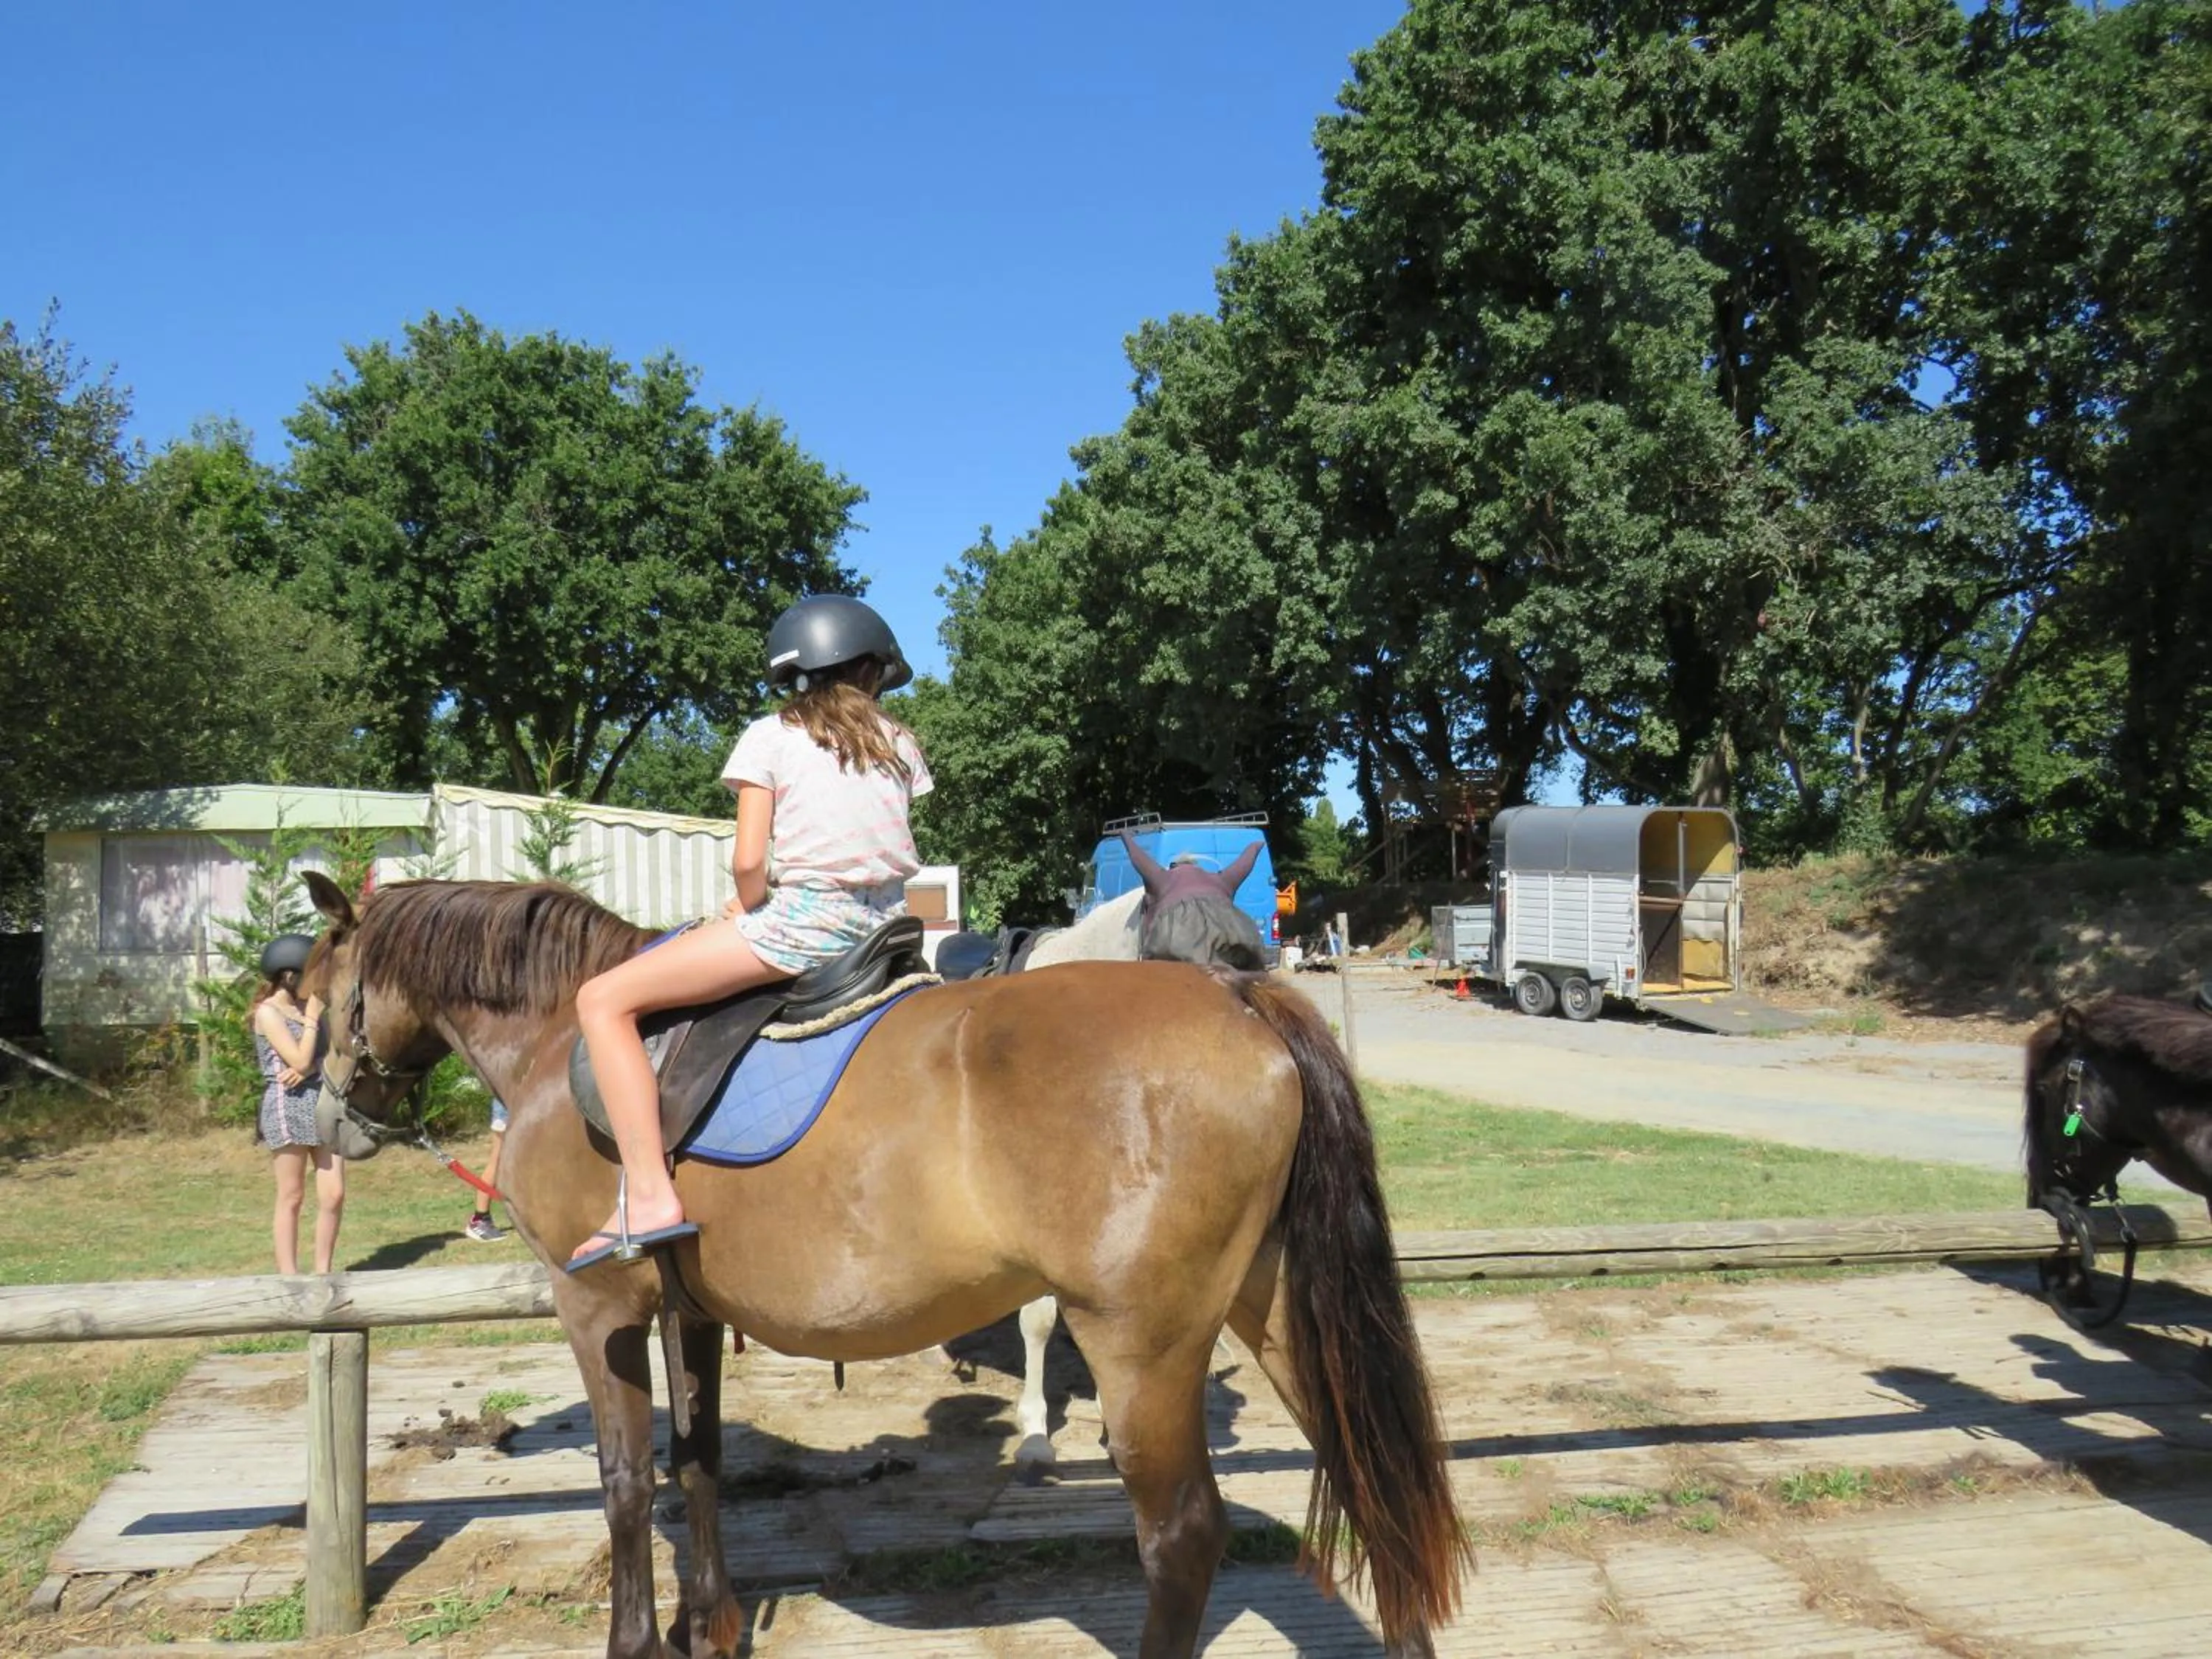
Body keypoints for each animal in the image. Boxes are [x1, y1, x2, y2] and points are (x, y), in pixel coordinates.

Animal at [299, 871, 1468, 1659]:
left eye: (311, 991)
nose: (324, 1114)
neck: (563, 1038)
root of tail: (1235, 1000)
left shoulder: (598, 1310)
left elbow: (626, 1481)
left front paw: (638, 1638)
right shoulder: (691, 1310)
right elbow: (698, 1459)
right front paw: (712, 1624)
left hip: (1144, 1341)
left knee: (1183, 1535)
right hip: (1277, 1309)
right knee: (1368, 1478)